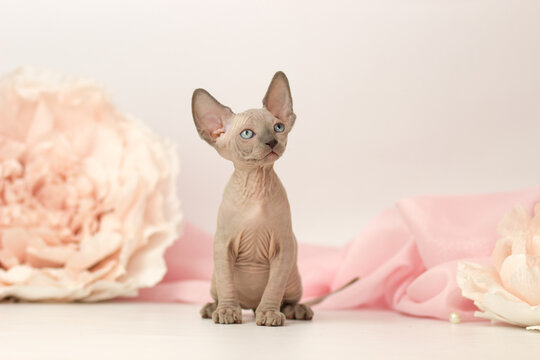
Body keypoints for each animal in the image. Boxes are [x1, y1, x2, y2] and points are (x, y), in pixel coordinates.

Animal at [191, 72, 354, 326]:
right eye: (247, 134)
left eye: (278, 127)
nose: (272, 142)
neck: (256, 184)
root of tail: (249, 305)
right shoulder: (222, 246)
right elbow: (228, 285)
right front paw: (227, 311)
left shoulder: (284, 248)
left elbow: (273, 288)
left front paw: (268, 313)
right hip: (214, 278)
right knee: (222, 291)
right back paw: (212, 307)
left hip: (294, 277)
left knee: (287, 298)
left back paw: (295, 309)